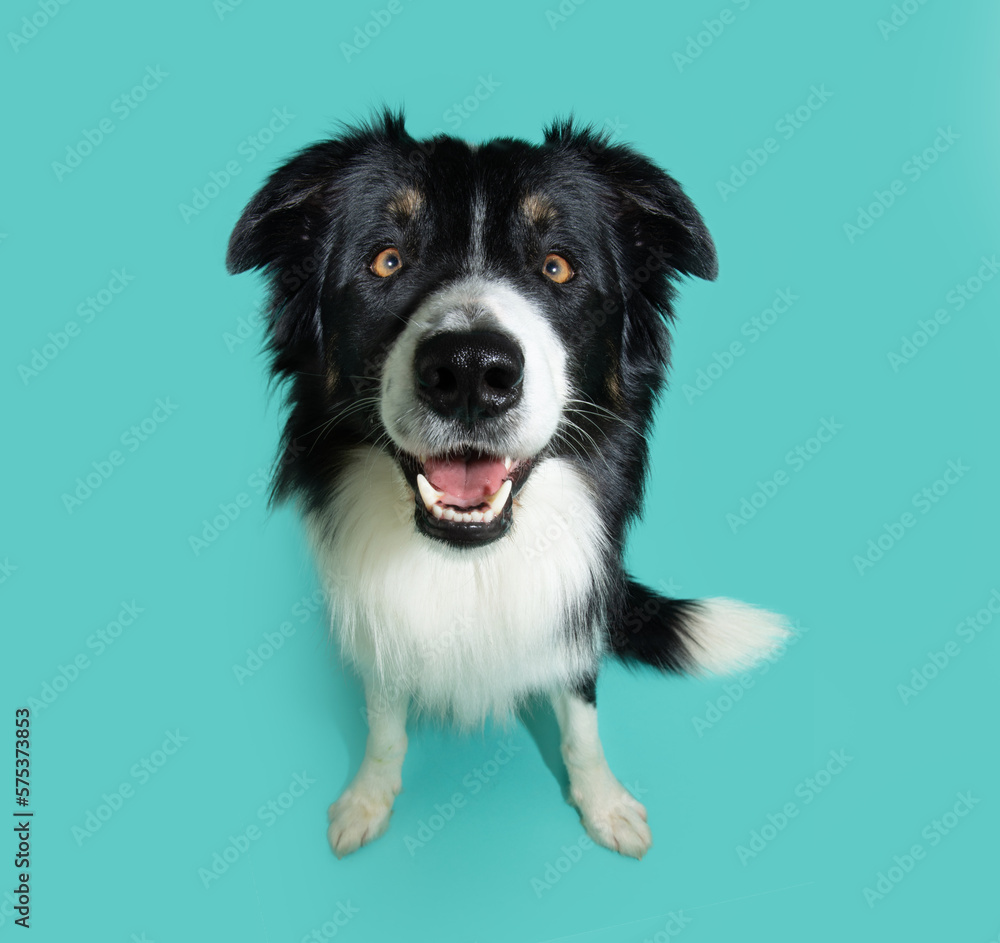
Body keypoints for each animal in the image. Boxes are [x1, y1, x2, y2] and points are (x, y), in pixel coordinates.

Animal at [227, 112, 788, 864]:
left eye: (556, 267)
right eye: (386, 261)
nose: (469, 369)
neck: (470, 564)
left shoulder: (575, 623)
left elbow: (581, 722)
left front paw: (603, 802)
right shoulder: (380, 625)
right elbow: (385, 722)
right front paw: (369, 797)